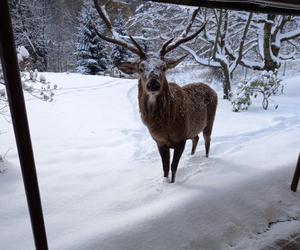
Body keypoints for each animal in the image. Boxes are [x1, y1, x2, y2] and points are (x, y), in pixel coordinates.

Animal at [92, 0, 217, 184]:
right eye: (141, 67)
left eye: (163, 67)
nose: (153, 84)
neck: (165, 125)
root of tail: (212, 89)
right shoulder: (159, 142)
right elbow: (165, 169)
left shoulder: (180, 139)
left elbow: (173, 169)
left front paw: (172, 184)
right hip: (194, 129)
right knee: (196, 138)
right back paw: (192, 157)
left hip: (210, 120)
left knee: (207, 140)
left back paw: (206, 160)